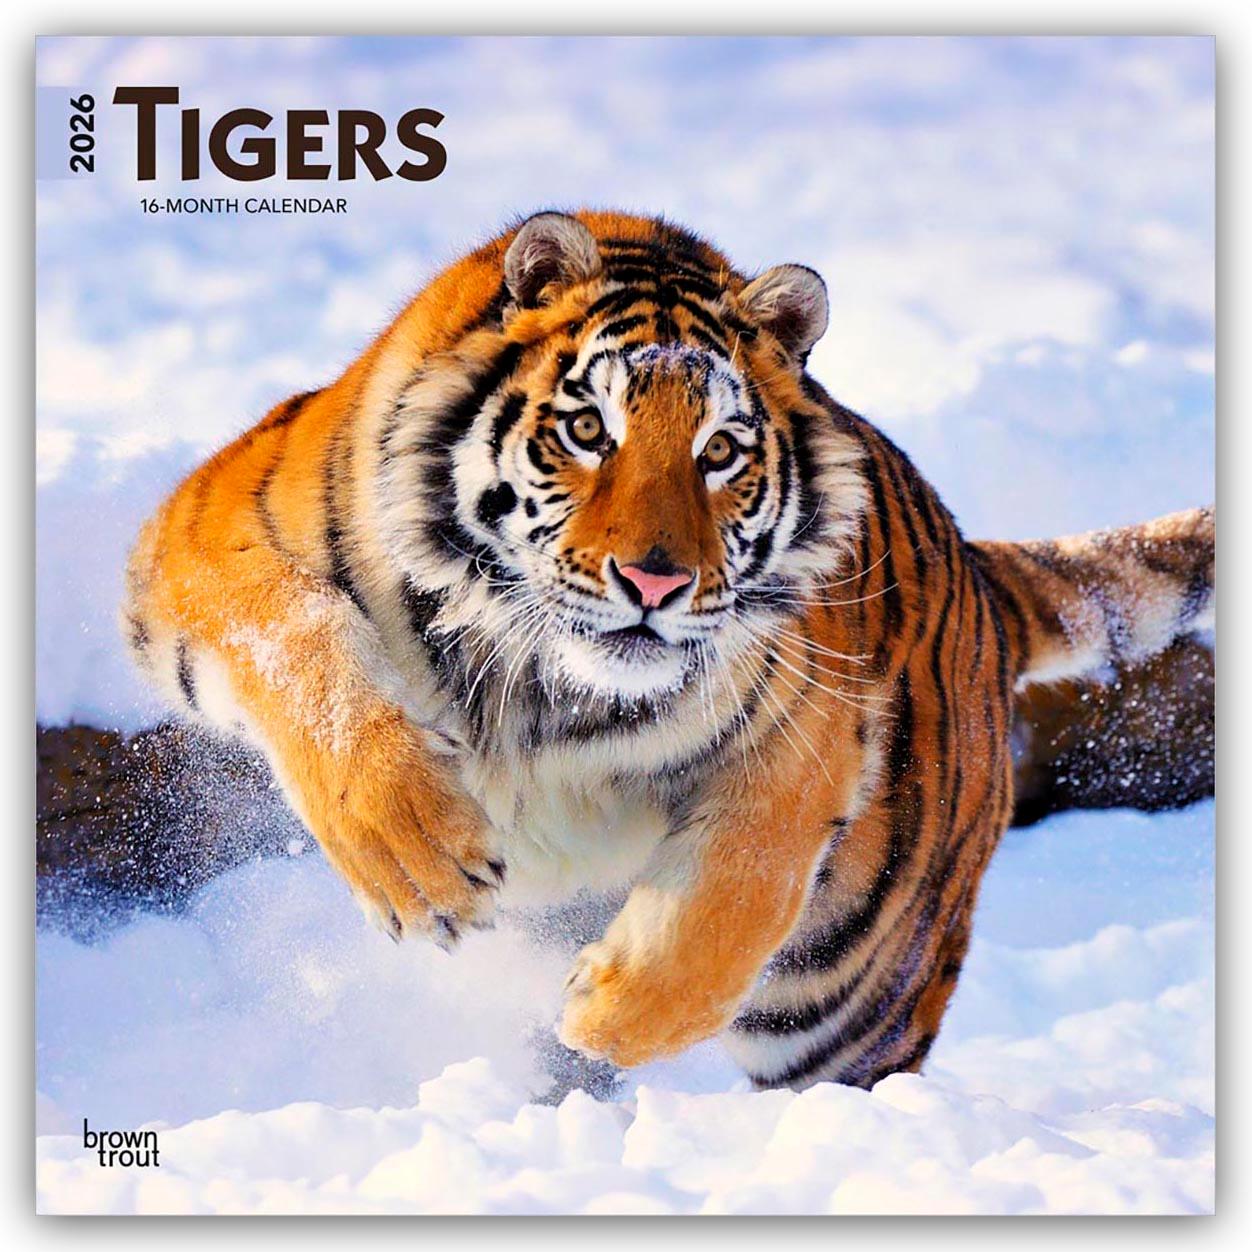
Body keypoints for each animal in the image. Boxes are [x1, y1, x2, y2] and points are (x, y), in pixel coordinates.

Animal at [124, 210, 1215, 1089]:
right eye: (585, 429)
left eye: (720, 451)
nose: (654, 584)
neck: (542, 681)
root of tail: (979, 570)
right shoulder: (205, 531)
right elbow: (299, 645)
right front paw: (417, 861)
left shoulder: (808, 725)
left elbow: (733, 893)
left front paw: (606, 1013)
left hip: (857, 988)